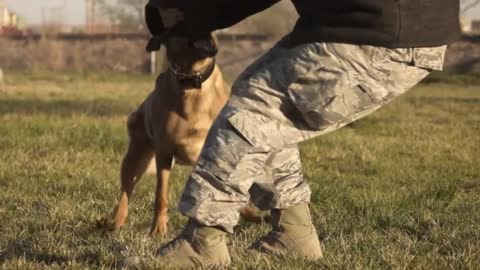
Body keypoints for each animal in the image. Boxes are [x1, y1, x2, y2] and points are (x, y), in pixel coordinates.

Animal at [99, 33, 260, 236]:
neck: (193, 82)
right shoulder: (164, 152)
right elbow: (161, 194)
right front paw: (158, 229)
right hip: (135, 157)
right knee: (126, 193)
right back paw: (116, 223)